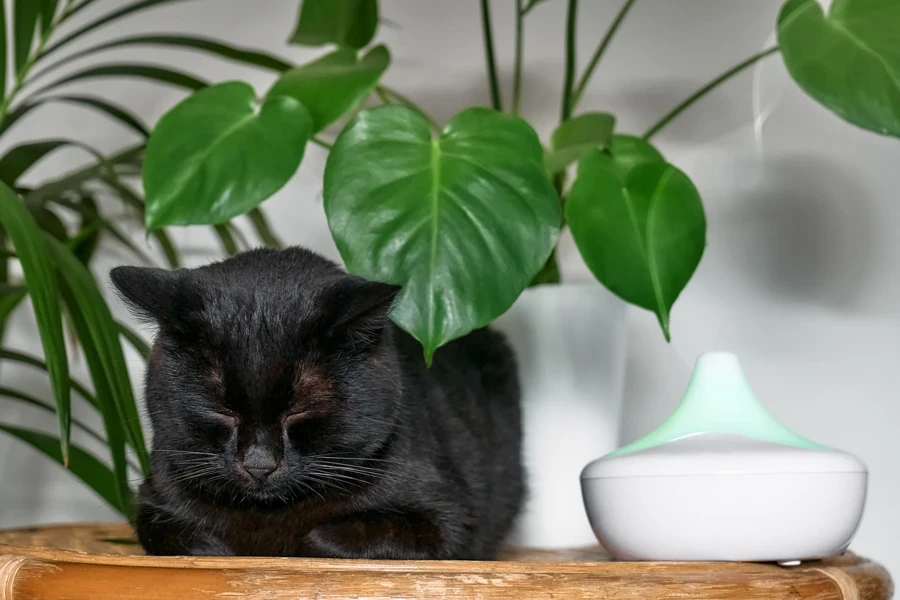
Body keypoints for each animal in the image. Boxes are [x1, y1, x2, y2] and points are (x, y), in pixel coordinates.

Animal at [110, 247, 524, 556]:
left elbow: (327, 538)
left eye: (300, 411)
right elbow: (187, 538)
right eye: (221, 410)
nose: (259, 465)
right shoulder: (155, 499)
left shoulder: (449, 520)